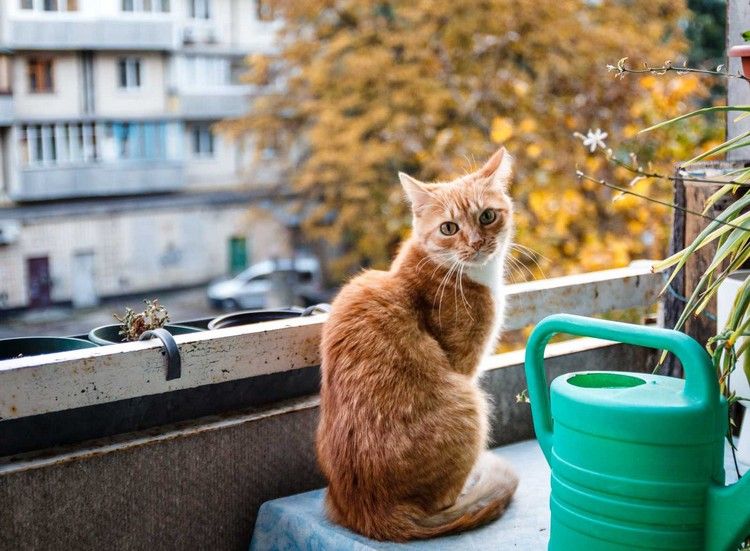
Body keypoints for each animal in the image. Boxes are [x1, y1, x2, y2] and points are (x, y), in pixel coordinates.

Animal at [314, 148, 520, 544]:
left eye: (487, 216)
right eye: (449, 228)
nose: (476, 243)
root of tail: (375, 514)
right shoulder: (465, 363)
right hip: (469, 401)